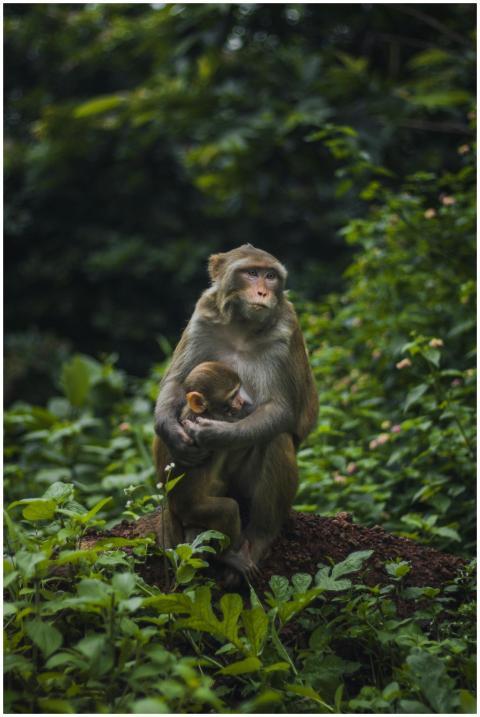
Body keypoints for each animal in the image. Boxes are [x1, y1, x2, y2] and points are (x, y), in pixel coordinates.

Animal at [154, 244, 318, 572]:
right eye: (252, 273)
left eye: (270, 276)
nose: (262, 292)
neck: (243, 328)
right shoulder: (202, 317)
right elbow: (176, 384)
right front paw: (175, 433)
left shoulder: (286, 331)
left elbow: (280, 411)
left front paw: (215, 435)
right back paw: (174, 521)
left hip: (239, 491)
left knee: (277, 439)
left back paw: (257, 541)